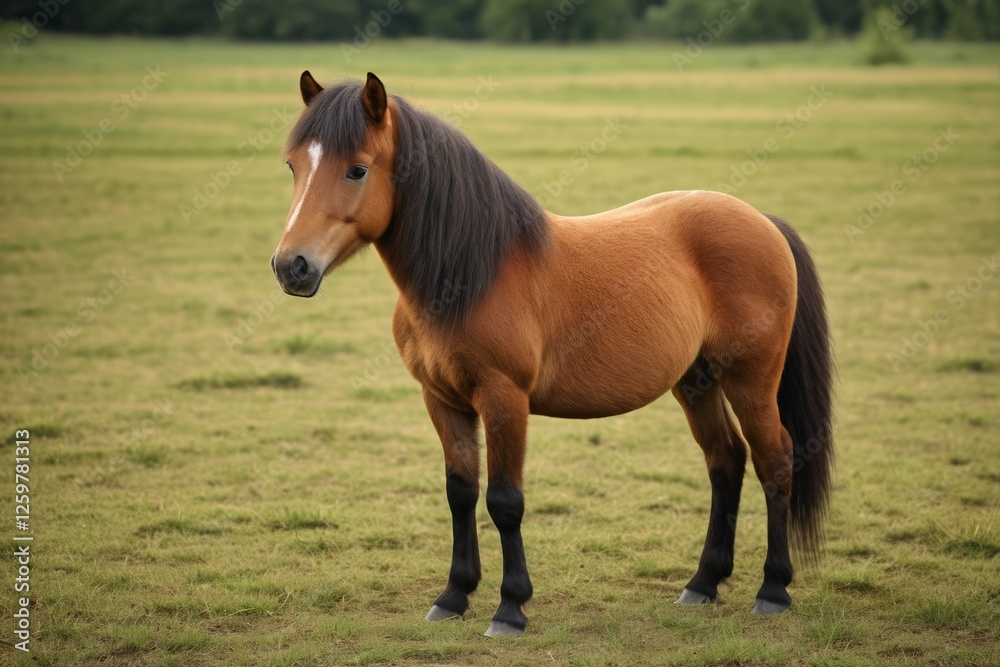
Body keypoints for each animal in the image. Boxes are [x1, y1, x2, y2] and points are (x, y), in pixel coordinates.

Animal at [271, 71, 834, 637]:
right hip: (696, 382)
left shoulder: (504, 400)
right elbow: (460, 493)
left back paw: (772, 589)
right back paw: (702, 584)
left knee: (774, 459)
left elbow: (504, 501)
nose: (291, 267)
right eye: (293, 165)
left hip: (751, 379)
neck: (472, 272)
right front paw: (453, 596)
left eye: (358, 169)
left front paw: (510, 608)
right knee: (725, 460)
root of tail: (762, 221)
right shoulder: (442, 400)